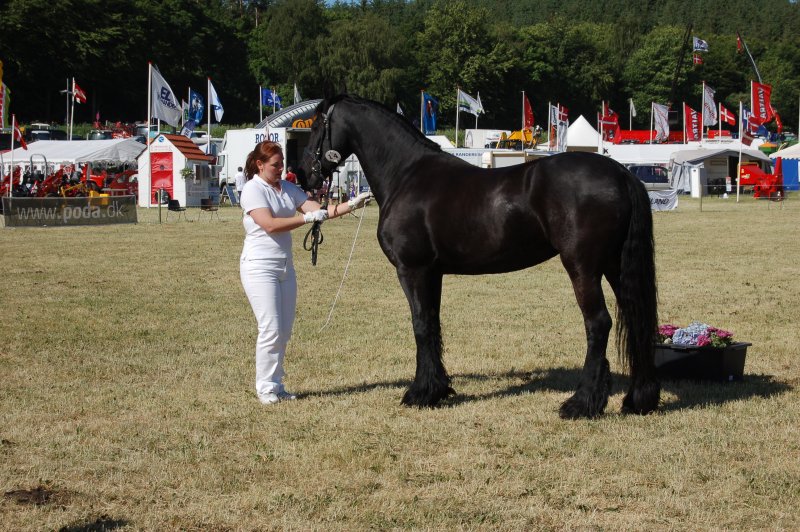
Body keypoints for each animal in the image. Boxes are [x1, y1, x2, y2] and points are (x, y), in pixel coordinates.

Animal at [298, 94, 659, 419]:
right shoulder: (433, 273)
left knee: (598, 323)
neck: (406, 174)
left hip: (582, 266)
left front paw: (420, 393)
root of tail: (622, 173)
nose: (304, 175)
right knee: (635, 318)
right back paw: (636, 400)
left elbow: (420, 325)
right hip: (614, 266)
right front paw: (437, 389)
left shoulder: (412, 270)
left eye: (316, 125)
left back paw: (581, 404)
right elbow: (433, 323)